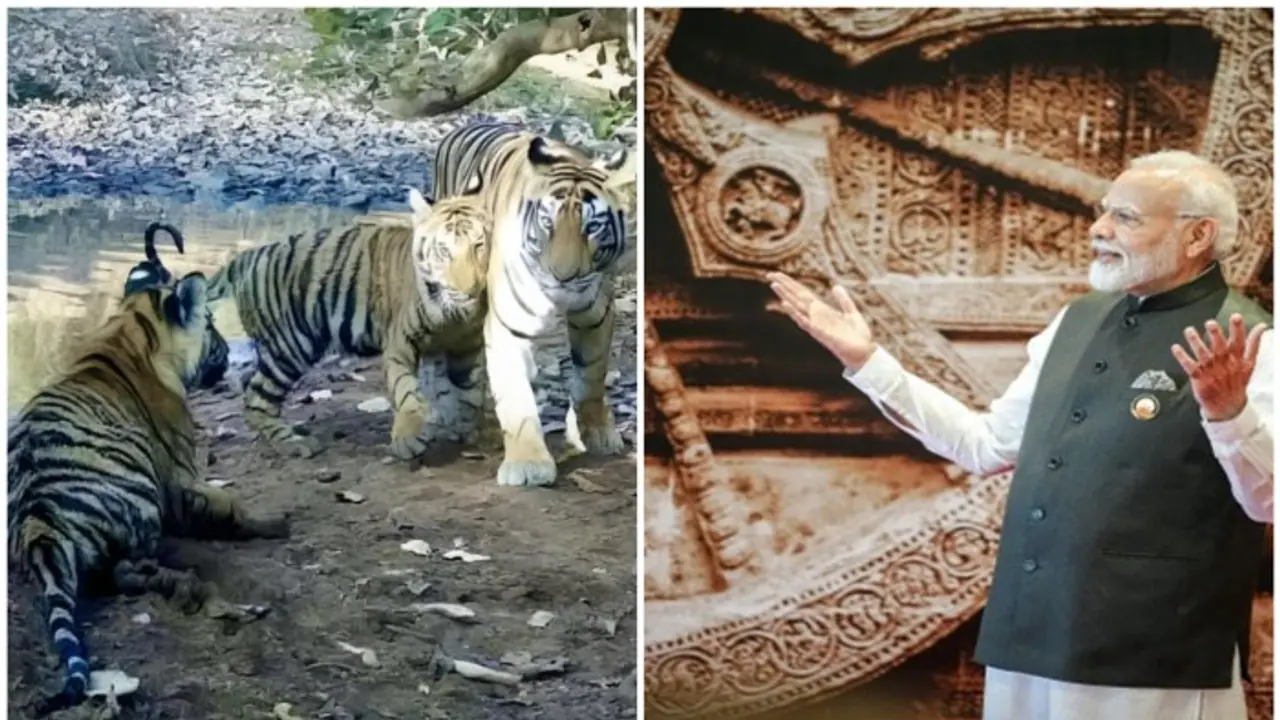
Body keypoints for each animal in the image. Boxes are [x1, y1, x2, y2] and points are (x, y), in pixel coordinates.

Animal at [8, 252, 289, 716]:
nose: (234, 350)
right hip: (138, 496)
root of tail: (38, 525)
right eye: (211, 325)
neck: (129, 331)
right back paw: (181, 582)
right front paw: (276, 521)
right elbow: (230, 505)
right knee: (126, 568)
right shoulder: (181, 478)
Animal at [203, 188, 493, 459]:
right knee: (256, 399)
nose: (468, 291)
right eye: (443, 251)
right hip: (289, 347)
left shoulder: (467, 345)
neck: (454, 315)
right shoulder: (400, 342)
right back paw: (294, 443)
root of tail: (248, 257)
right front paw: (408, 440)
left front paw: (462, 429)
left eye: (479, 245)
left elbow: (470, 393)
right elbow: (406, 390)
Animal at [431, 121, 631, 487]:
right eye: (548, 223)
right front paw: (528, 464)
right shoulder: (509, 322)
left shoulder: (596, 313)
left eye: (593, 227)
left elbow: (591, 375)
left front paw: (597, 433)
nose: (563, 277)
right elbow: (516, 395)